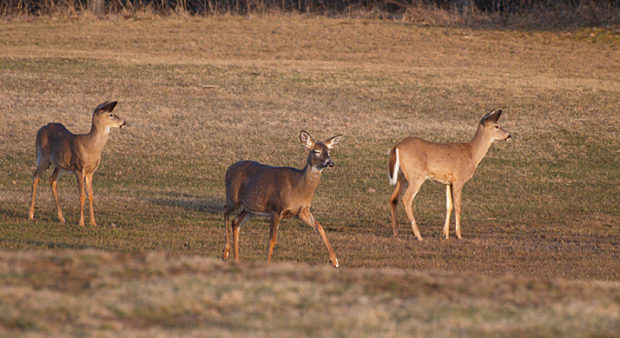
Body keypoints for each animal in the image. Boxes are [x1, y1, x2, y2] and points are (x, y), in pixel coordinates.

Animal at [222, 129, 342, 266]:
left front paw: (334, 260)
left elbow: (319, 227)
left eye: (329, 151)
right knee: (225, 210)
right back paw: (226, 251)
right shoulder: (276, 208)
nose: (331, 162)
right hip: (233, 196)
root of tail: (229, 169)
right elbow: (272, 239)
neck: (298, 188)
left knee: (236, 222)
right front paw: (267, 263)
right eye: (316, 151)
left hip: (251, 208)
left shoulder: (302, 211)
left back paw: (236, 259)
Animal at [388, 109, 512, 239]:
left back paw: (396, 233)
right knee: (406, 199)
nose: (509, 135)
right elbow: (458, 205)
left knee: (393, 198)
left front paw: (445, 234)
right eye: (497, 126)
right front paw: (459, 234)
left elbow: (449, 205)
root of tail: (396, 147)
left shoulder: (448, 181)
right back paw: (418, 235)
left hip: (402, 178)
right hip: (416, 176)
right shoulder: (459, 179)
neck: (471, 154)